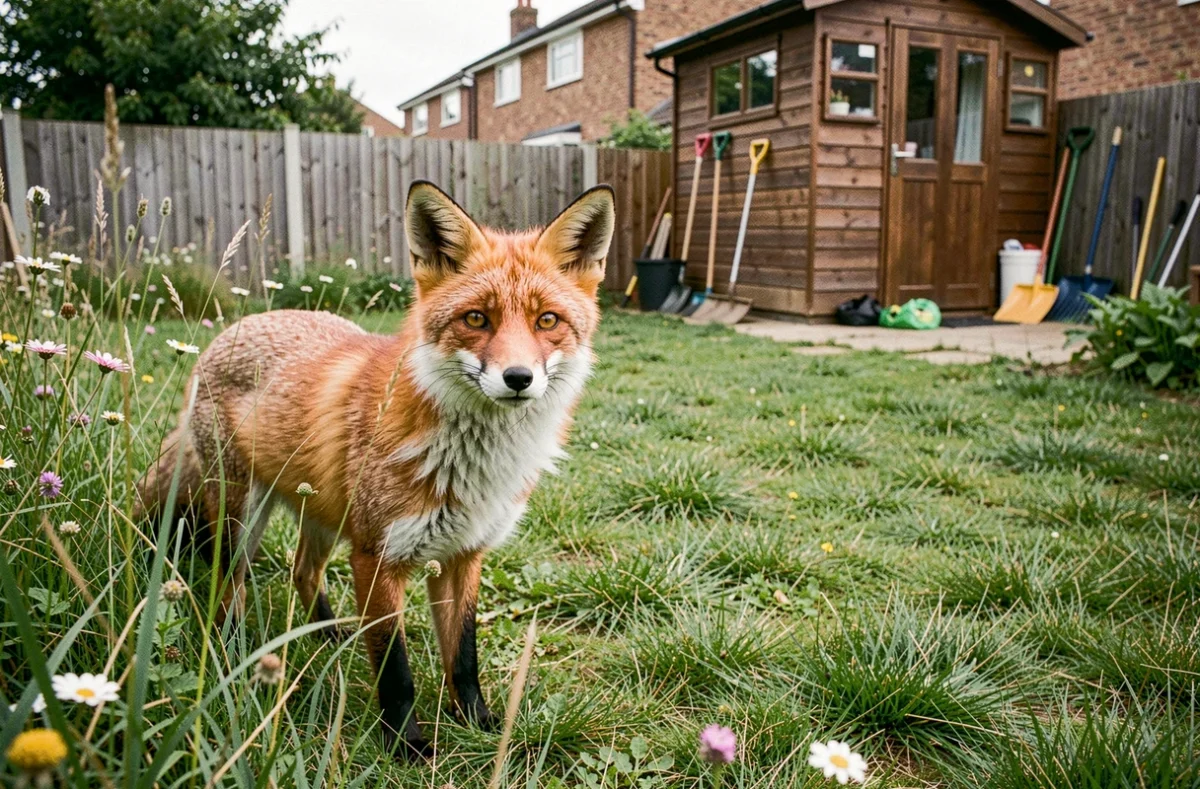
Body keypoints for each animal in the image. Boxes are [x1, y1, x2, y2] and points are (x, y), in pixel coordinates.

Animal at [137, 180, 616, 759]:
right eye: (476, 319)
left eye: (547, 321)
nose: (518, 378)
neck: (472, 465)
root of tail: (228, 330)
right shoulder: (377, 556)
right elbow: (395, 666)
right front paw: (405, 744)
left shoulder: (465, 554)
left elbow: (464, 655)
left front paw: (478, 724)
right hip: (241, 514)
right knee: (228, 584)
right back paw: (234, 650)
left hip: (317, 513)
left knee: (302, 571)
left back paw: (325, 636)